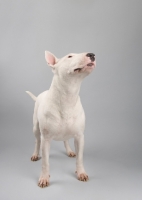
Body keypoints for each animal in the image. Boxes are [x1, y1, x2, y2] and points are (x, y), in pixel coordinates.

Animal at [26, 50, 96, 188]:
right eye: (70, 56)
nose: (92, 54)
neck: (68, 96)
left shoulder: (79, 136)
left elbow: (80, 158)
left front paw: (81, 173)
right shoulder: (46, 138)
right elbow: (45, 162)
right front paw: (44, 178)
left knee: (66, 140)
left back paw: (69, 151)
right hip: (36, 128)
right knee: (37, 141)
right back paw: (35, 154)